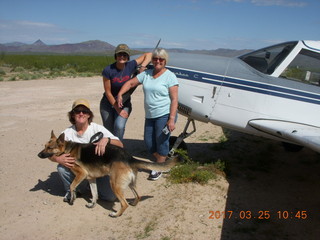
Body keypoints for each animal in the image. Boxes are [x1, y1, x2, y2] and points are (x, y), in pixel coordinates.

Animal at [38, 131, 178, 218]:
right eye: (44, 146)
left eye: (50, 148)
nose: (38, 155)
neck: (68, 149)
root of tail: (129, 157)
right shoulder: (91, 179)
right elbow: (94, 194)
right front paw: (92, 204)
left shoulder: (81, 174)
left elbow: (72, 186)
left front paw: (72, 199)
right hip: (130, 184)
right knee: (137, 196)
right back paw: (133, 204)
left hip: (114, 184)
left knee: (124, 204)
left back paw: (116, 214)